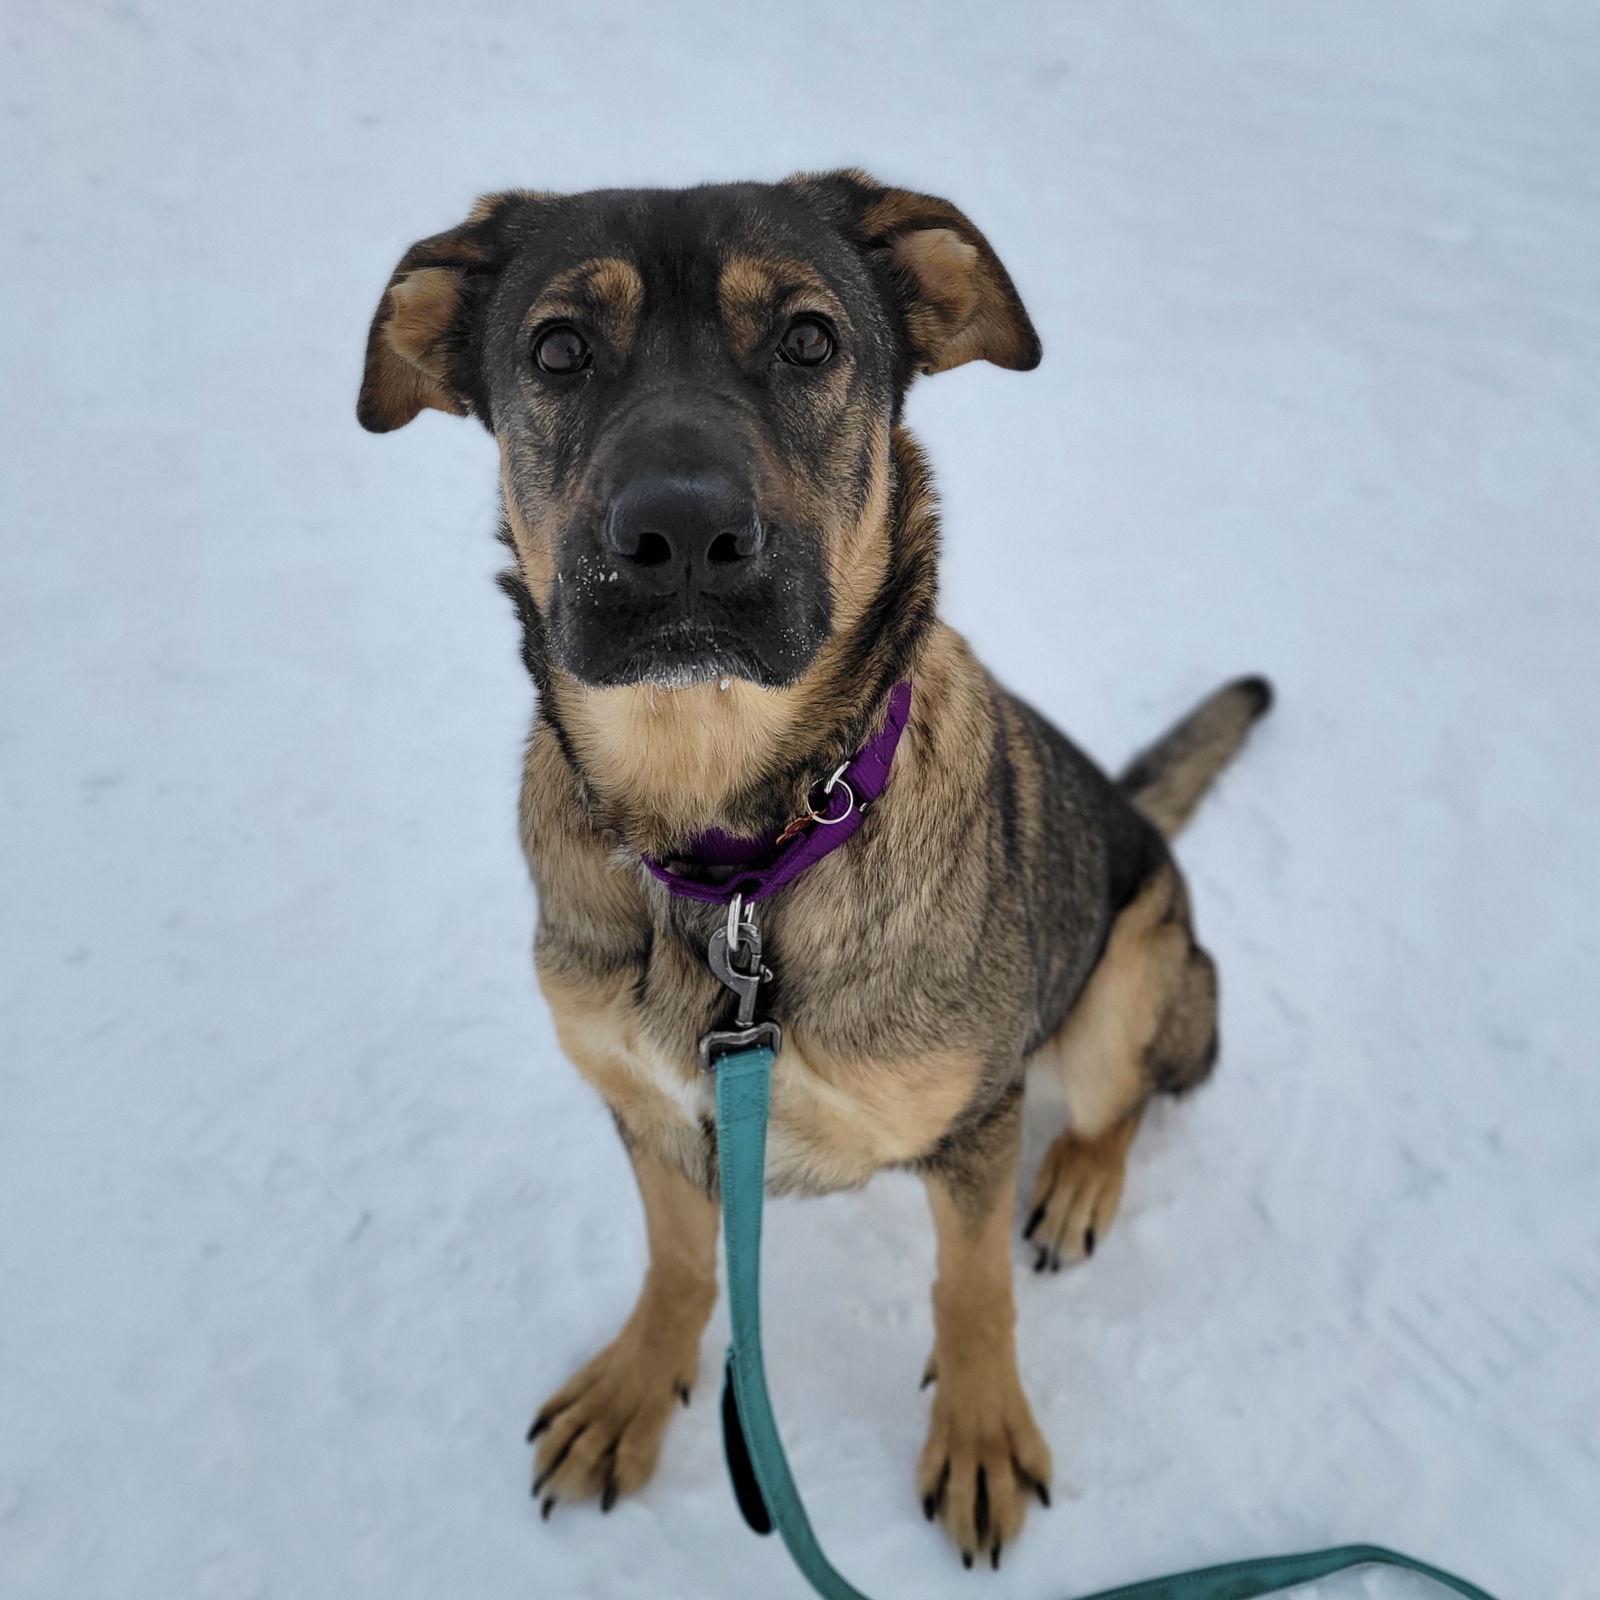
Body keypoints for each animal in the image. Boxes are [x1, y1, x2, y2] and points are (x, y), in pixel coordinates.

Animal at [356, 168, 1267, 1568]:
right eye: (556, 348)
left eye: (806, 339)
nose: (681, 532)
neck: (733, 855)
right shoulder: (649, 1107)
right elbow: (681, 1262)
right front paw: (636, 1389)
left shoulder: (976, 1114)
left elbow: (970, 1285)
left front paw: (981, 1434)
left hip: (1130, 974)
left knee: (1126, 1095)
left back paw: (1077, 1182)